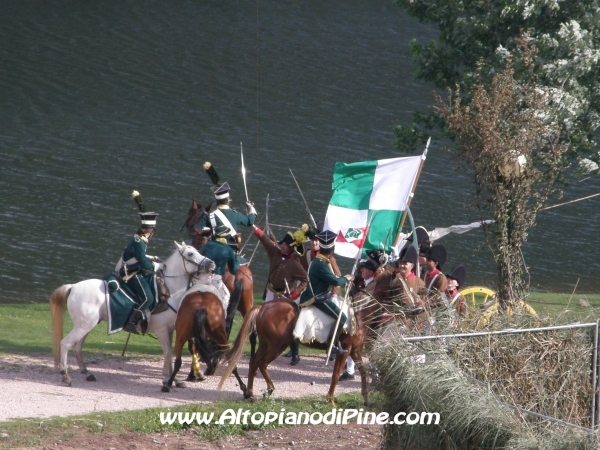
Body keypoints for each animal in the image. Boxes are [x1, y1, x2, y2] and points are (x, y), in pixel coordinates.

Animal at [49, 243, 213, 386]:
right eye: (190, 253)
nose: (211, 264)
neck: (169, 291)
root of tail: (73, 287)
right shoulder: (161, 330)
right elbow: (167, 353)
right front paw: (168, 379)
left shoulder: (170, 330)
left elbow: (170, 354)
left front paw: (174, 380)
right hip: (83, 327)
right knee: (65, 344)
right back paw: (65, 375)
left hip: (87, 326)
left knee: (77, 347)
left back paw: (87, 373)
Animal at [218, 274, 396, 408]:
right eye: (399, 284)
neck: (358, 312)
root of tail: (262, 307)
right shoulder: (345, 350)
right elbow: (336, 374)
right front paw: (331, 400)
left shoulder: (355, 350)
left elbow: (364, 372)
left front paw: (366, 399)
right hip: (277, 345)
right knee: (262, 363)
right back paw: (269, 389)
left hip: (265, 343)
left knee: (254, 362)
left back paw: (250, 393)